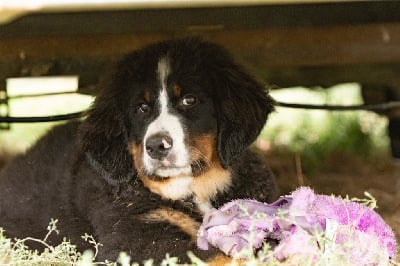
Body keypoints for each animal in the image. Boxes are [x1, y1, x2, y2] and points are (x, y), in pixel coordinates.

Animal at [0, 38, 276, 264]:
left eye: (189, 100)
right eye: (141, 108)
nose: (156, 146)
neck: (196, 188)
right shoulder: (136, 236)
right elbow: (215, 255)